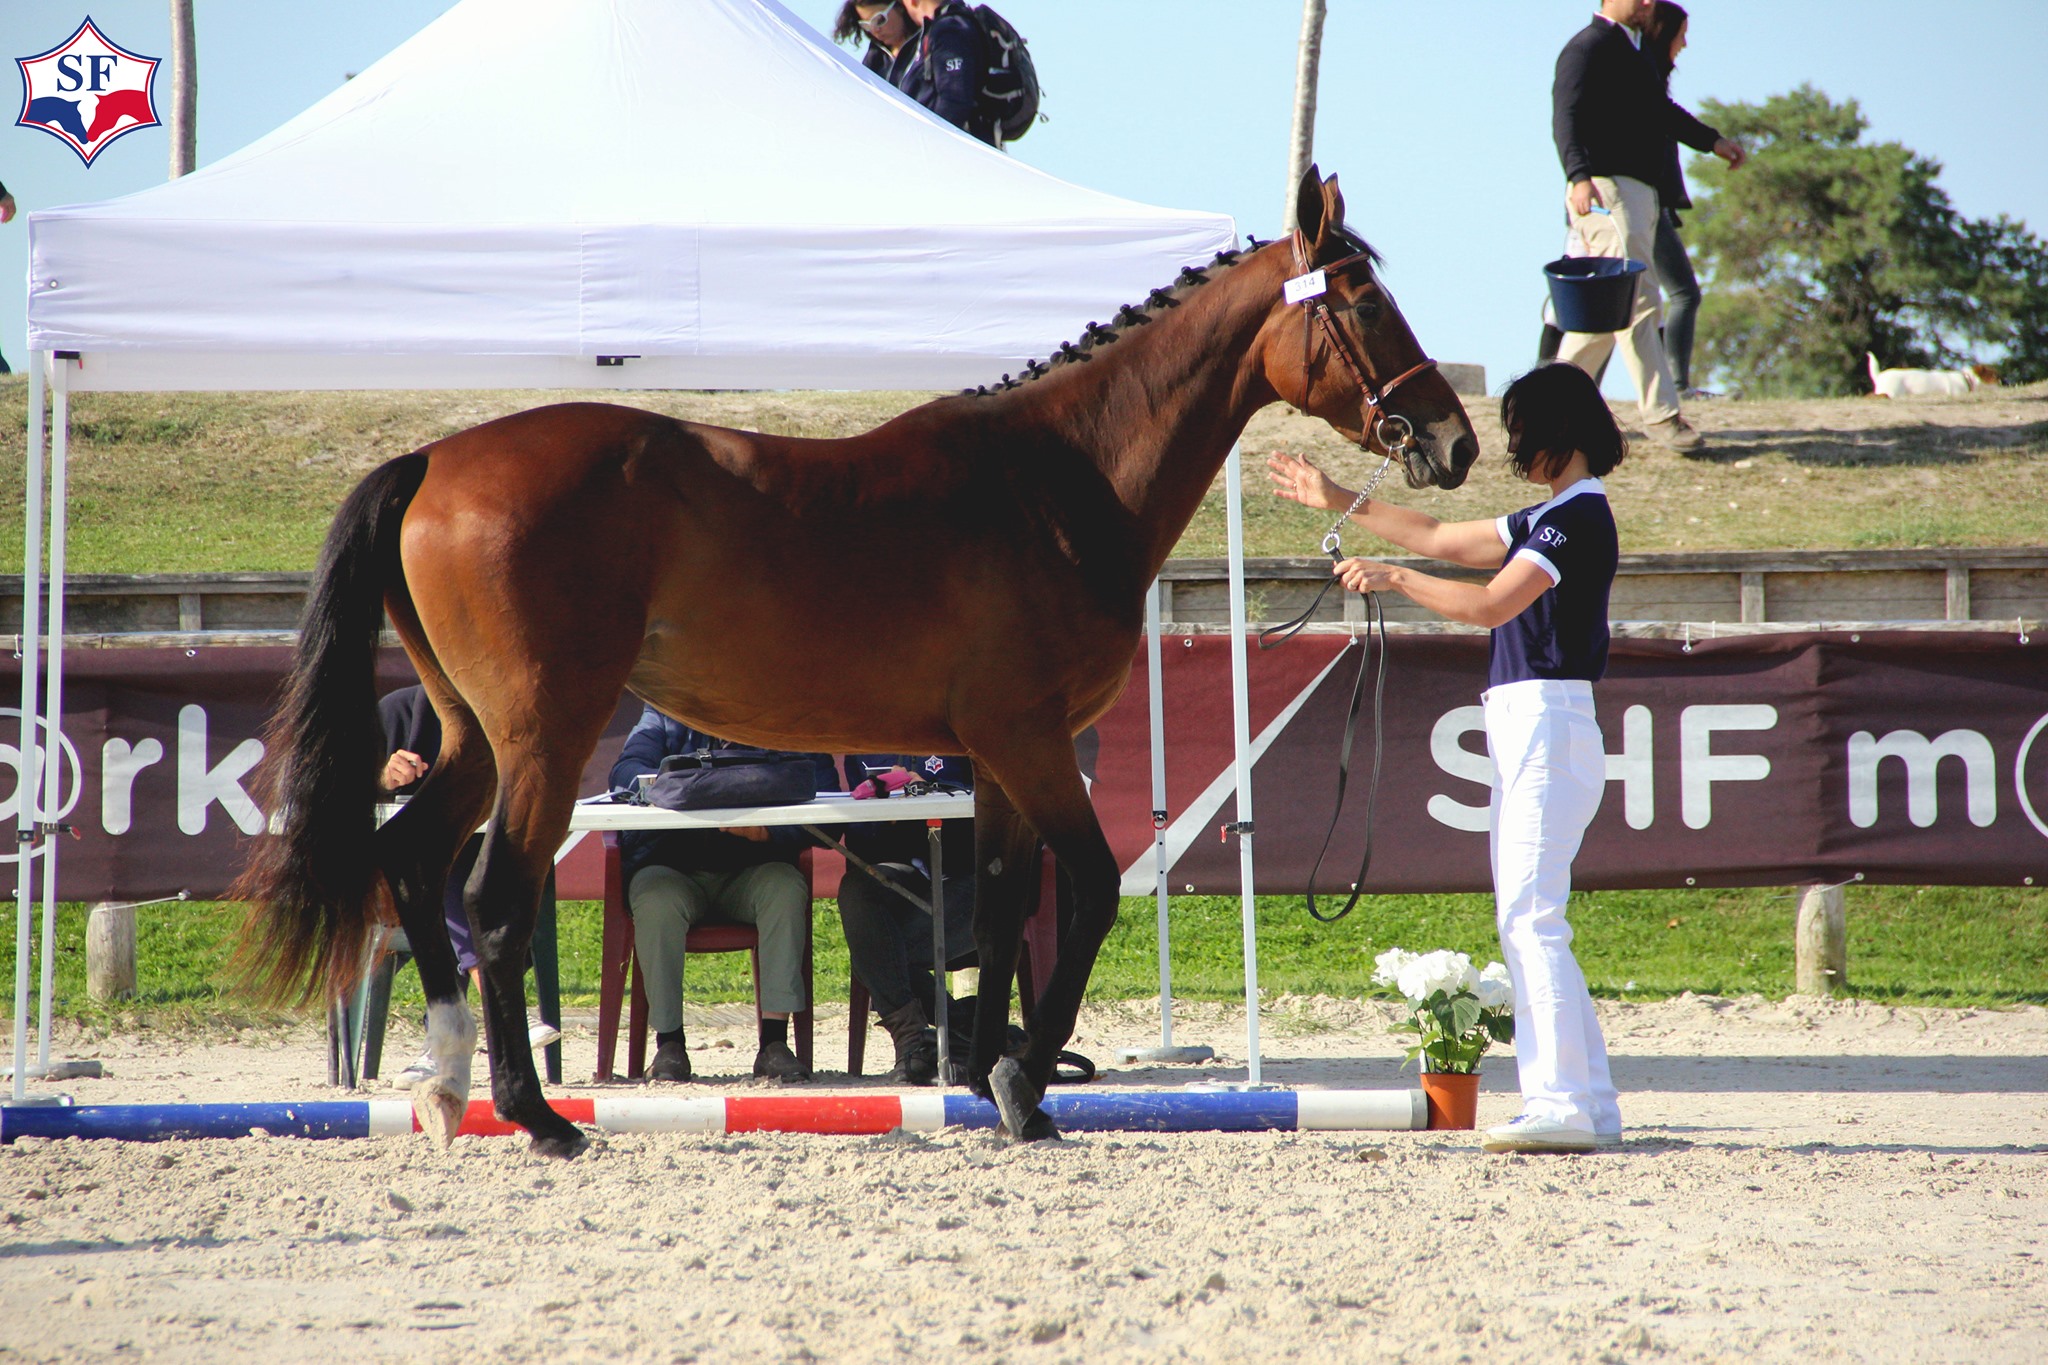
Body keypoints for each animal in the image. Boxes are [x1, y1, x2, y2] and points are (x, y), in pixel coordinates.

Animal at [235, 168, 1479, 1157]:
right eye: (1363, 301)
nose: (1452, 441)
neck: (1056, 479)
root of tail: (437, 458)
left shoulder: (992, 760)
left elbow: (996, 909)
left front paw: (995, 1085)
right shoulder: (1029, 740)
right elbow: (1083, 890)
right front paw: (1021, 1081)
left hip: (474, 738)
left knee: (410, 859)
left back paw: (448, 1092)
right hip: (541, 734)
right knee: (489, 898)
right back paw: (537, 1118)